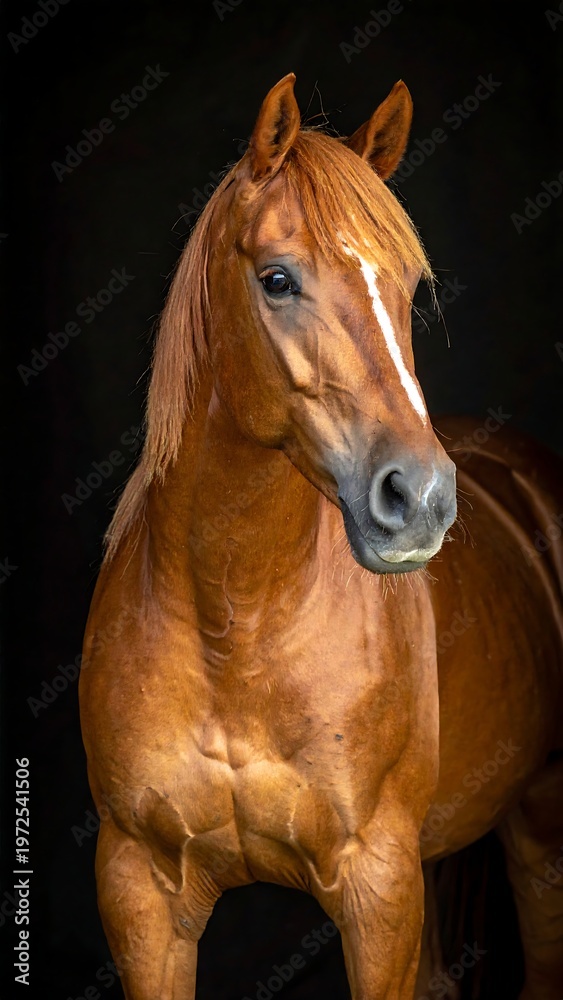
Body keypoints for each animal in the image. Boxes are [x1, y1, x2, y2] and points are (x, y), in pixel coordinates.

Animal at [80, 74, 563, 999]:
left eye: (408, 287)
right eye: (277, 279)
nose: (421, 498)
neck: (233, 624)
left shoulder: (377, 889)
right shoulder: (139, 891)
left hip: (536, 827)